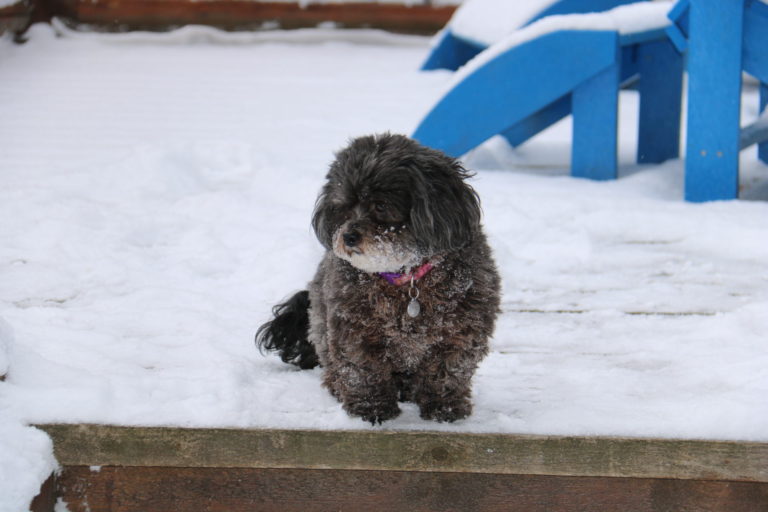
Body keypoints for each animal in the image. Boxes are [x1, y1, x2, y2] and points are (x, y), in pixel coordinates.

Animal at [255, 133, 500, 424]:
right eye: (344, 208)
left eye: (381, 206)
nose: (348, 237)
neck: (406, 278)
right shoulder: (354, 328)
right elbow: (363, 370)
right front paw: (371, 408)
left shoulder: (460, 331)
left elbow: (447, 371)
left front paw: (445, 408)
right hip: (320, 323)